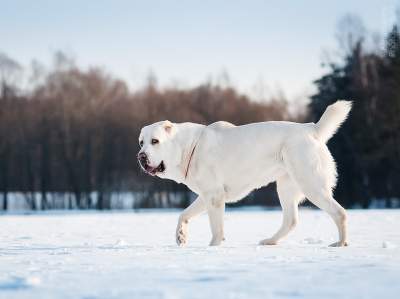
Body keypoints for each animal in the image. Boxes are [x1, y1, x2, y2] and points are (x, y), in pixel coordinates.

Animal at [139, 102, 352, 247]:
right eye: (141, 142)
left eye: (155, 141)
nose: (141, 156)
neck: (188, 147)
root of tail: (311, 128)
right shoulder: (208, 194)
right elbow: (184, 214)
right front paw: (180, 236)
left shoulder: (214, 196)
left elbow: (216, 227)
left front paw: (213, 246)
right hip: (287, 186)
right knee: (291, 220)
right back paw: (270, 241)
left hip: (310, 183)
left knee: (339, 213)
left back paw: (340, 243)